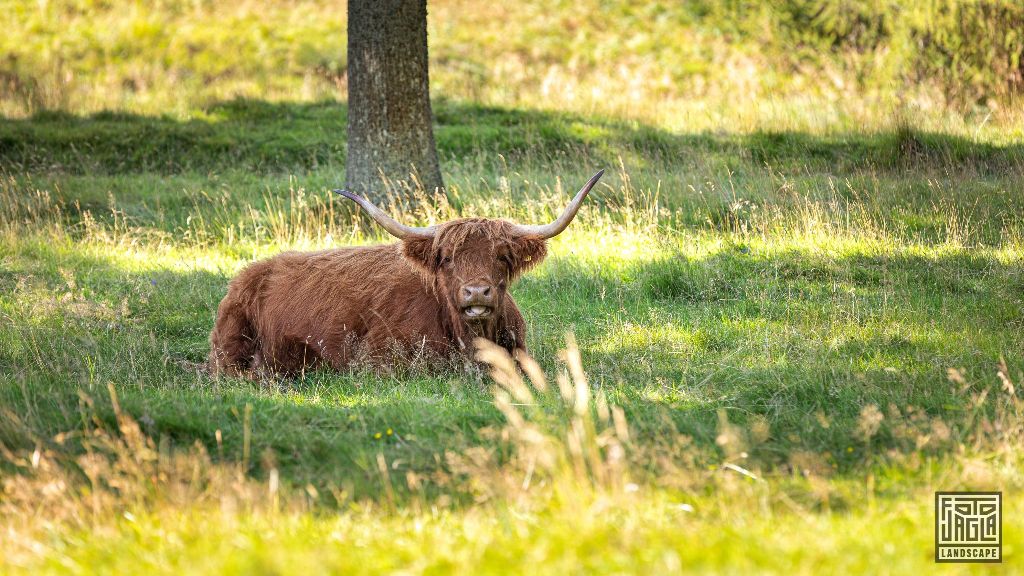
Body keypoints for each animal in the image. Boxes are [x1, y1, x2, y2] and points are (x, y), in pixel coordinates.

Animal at [207, 168, 602, 375]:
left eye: (502, 256)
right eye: (446, 258)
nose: (476, 292)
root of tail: (253, 271)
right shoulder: (376, 359)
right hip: (231, 346)